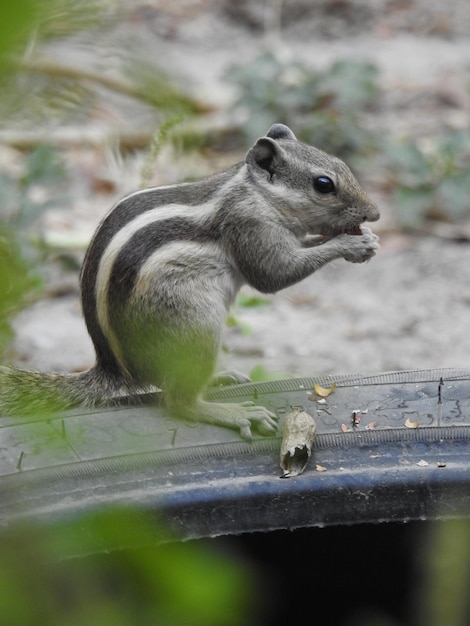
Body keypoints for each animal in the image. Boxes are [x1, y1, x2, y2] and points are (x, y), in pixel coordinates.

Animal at [0, 123, 380, 438]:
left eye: (341, 163)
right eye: (323, 184)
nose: (374, 213)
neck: (255, 193)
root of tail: (118, 370)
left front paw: (363, 238)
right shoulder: (249, 226)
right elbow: (273, 274)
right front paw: (351, 244)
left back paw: (221, 378)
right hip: (195, 323)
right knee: (178, 402)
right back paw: (231, 413)